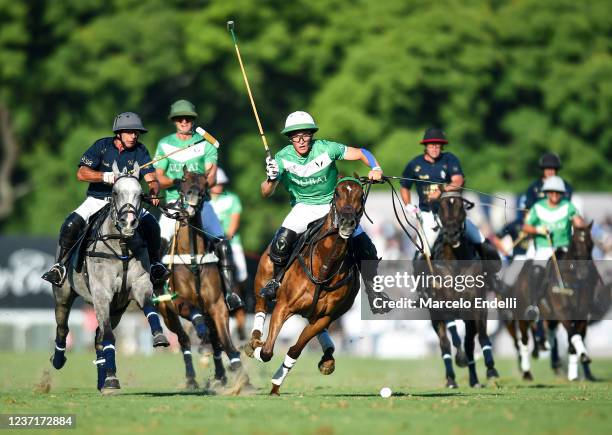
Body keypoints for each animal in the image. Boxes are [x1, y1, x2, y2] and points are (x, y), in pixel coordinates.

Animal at [50, 163, 169, 396]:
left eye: (140, 194)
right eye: (114, 192)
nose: (129, 222)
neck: (121, 244)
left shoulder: (139, 284)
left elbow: (149, 308)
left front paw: (159, 336)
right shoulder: (101, 294)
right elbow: (108, 336)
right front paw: (113, 381)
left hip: (117, 308)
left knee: (97, 338)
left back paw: (103, 379)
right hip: (64, 294)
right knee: (63, 328)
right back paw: (58, 359)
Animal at [154, 169, 243, 390]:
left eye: (205, 184)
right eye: (184, 181)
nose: (191, 205)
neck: (193, 258)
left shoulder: (217, 305)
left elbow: (226, 342)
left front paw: (241, 377)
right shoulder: (178, 302)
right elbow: (195, 316)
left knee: (216, 341)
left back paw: (220, 376)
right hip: (166, 313)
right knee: (184, 339)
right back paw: (191, 378)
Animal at [246, 176, 366, 396]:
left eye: (361, 195)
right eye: (337, 193)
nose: (347, 222)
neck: (325, 266)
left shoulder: (325, 316)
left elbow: (295, 349)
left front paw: (276, 382)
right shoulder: (283, 306)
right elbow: (267, 351)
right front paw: (259, 351)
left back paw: (328, 358)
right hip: (262, 279)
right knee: (260, 306)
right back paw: (254, 341)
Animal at [428, 192, 500, 390]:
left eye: (461, 209)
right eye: (440, 209)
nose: (451, 234)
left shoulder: (477, 306)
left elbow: (482, 337)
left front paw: (491, 369)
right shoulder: (444, 306)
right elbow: (453, 339)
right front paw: (459, 359)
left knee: (469, 344)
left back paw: (474, 380)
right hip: (434, 317)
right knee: (445, 344)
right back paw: (451, 379)